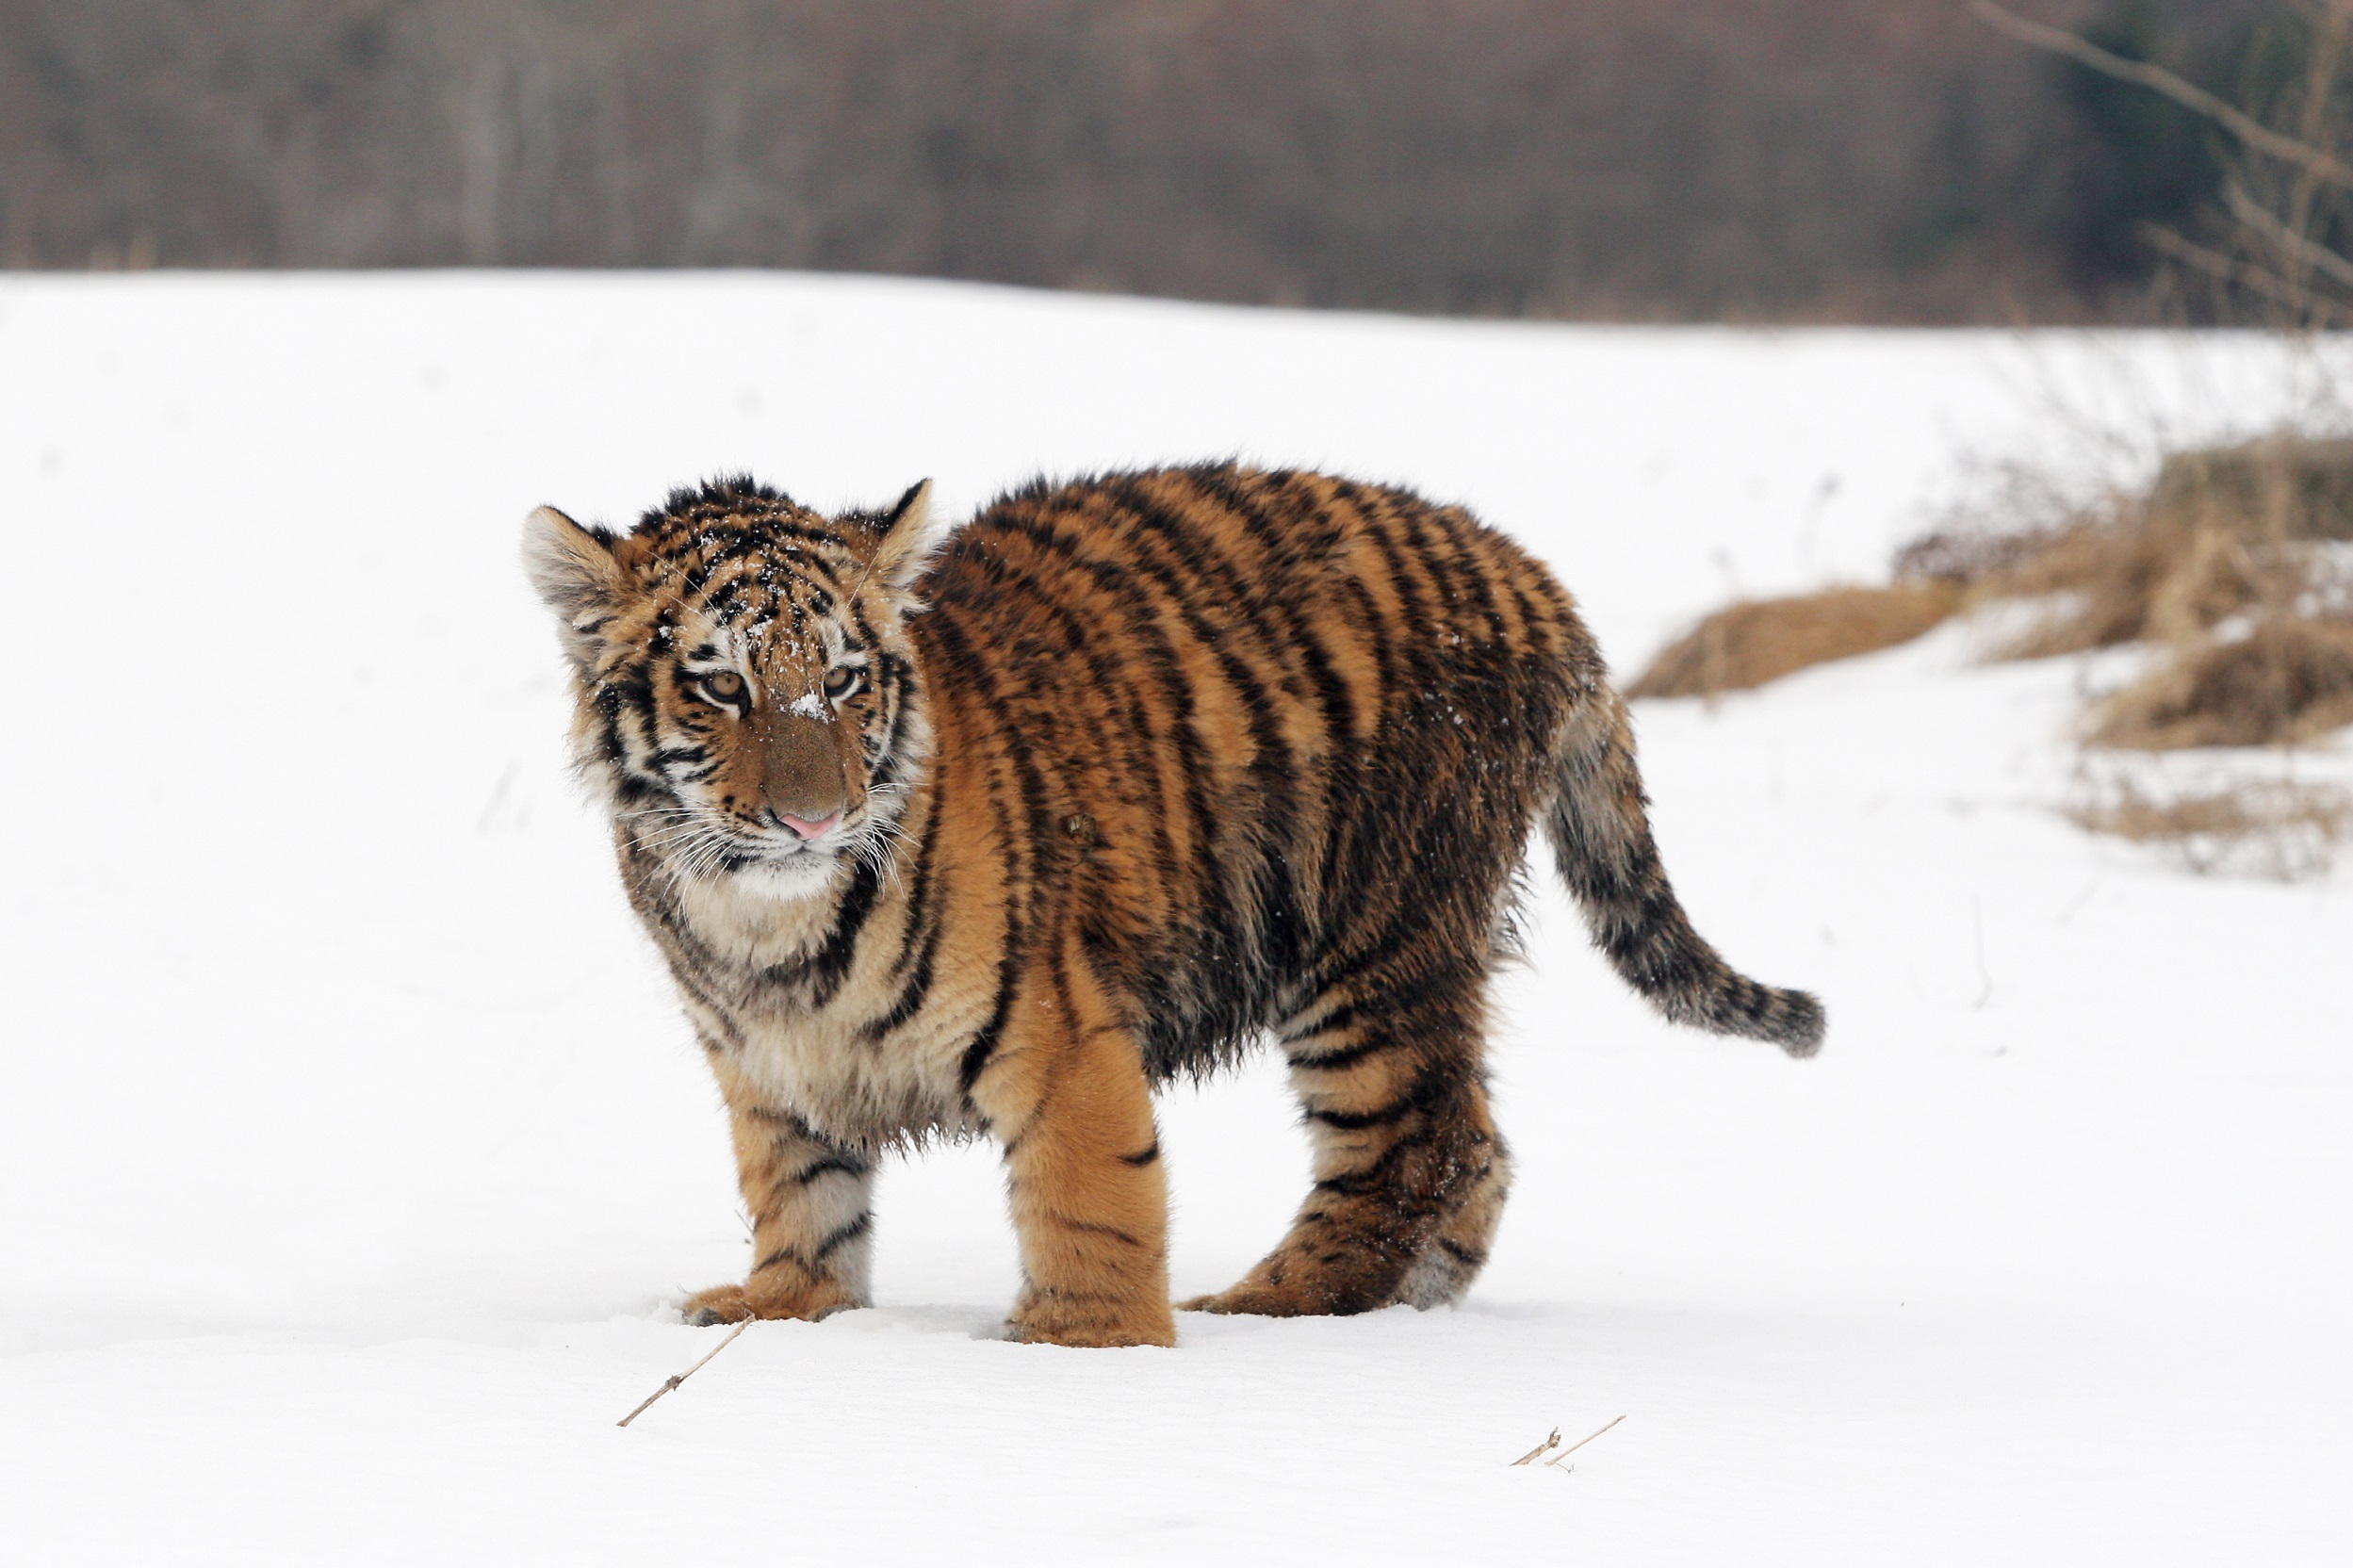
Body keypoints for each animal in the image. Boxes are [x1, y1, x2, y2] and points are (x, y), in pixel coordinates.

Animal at [529, 461, 1816, 1347]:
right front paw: (781, 1310)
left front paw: (1083, 1343)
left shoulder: (1059, 1030)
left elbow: (1091, 1196)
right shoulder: (767, 1062)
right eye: (721, 685)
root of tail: (1523, 569)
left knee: (1416, 1147)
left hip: (1368, 945)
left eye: (842, 681)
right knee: (1480, 1147)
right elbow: (799, 1194)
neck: (764, 921)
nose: (812, 818)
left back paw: (1267, 1305)